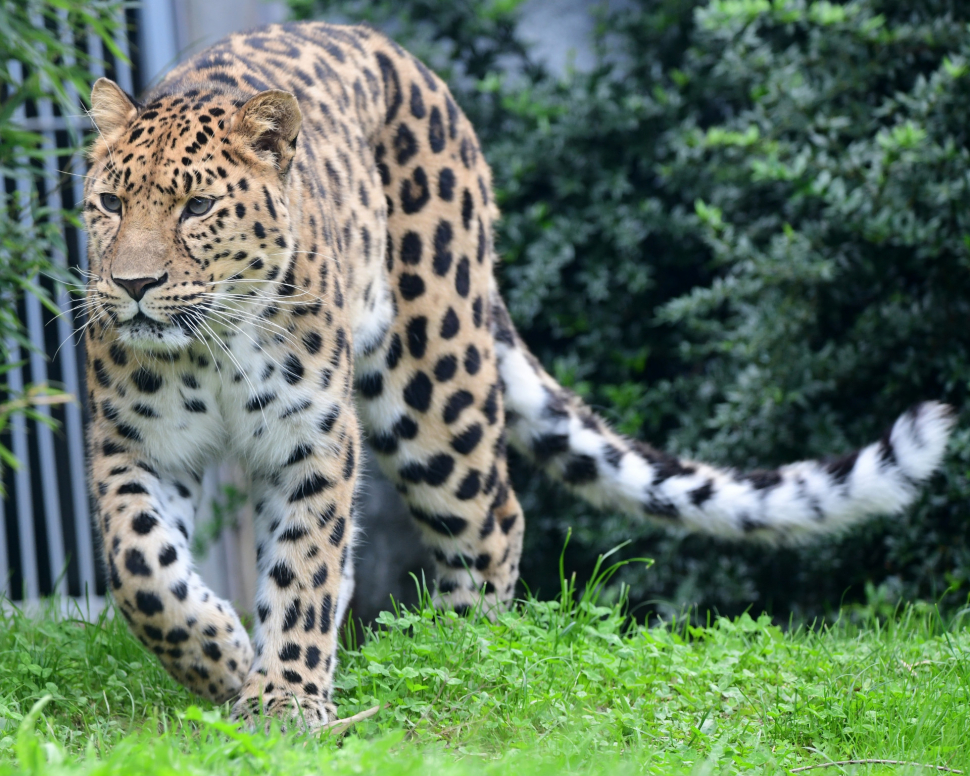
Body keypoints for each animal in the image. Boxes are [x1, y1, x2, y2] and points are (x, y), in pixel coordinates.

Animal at [81, 21, 952, 732]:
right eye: (110, 203)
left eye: (197, 208)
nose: (132, 285)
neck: (210, 345)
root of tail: (393, 49)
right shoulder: (134, 444)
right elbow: (141, 568)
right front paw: (225, 659)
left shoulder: (313, 438)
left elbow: (305, 566)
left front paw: (285, 696)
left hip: (434, 378)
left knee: (493, 517)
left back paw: (458, 650)